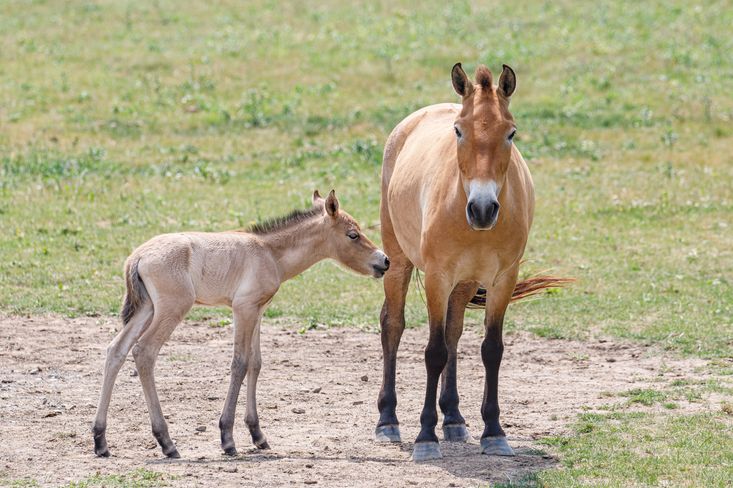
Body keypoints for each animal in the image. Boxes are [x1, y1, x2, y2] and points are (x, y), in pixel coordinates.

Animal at [93, 191, 388, 458]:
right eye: (353, 234)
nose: (384, 261)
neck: (269, 252)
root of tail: (138, 256)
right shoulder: (242, 309)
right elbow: (240, 363)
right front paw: (227, 438)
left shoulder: (258, 310)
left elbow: (255, 363)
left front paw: (258, 435)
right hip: (171, 309)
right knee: (144, 352)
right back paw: (166, 442)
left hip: (147, 309)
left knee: (116, 350)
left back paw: (100, 440)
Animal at [378, 62, 536, 462]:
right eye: (459, 130)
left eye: (511, 132)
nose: (482, 209)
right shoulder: (437, 277)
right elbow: (433, 352)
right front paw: (425, 438)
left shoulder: (502, 280)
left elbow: (490, 350)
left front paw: (493, 432)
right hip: (399, 262)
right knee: (393, 326)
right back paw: (387, 420)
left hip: (464, 284)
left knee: (453, 332)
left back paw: (453, 418)